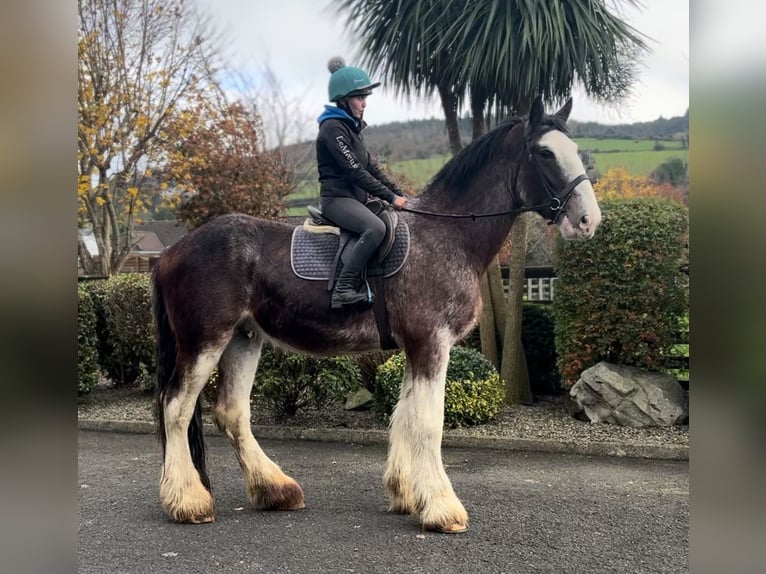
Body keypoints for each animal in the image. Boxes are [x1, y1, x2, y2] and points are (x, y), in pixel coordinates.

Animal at [153, 95, 604, 536]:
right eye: (545, 152)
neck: (446, 237)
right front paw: (442, 508)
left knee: (231, 413)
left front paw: (407, 495)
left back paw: (274, 490)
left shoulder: (414, 347)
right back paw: (188, 501)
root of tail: (174, 251)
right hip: (205, 340)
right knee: (176, 407)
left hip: (243, 339)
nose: (588, 220)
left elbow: (403, 416)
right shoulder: (430, 343)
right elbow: (428, 422)